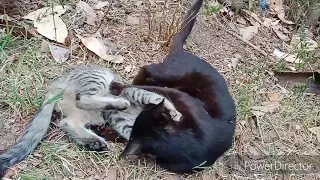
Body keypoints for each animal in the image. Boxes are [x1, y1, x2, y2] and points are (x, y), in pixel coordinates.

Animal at [0, 65, 180, 177]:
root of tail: (53, 87)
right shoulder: (134, 95)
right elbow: (157, 98)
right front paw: (175, 113)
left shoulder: (122, 121)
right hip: (97, 81)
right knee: (84, 99)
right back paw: (119, 104)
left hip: (89, 115)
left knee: (68, 122)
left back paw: (95, 142)